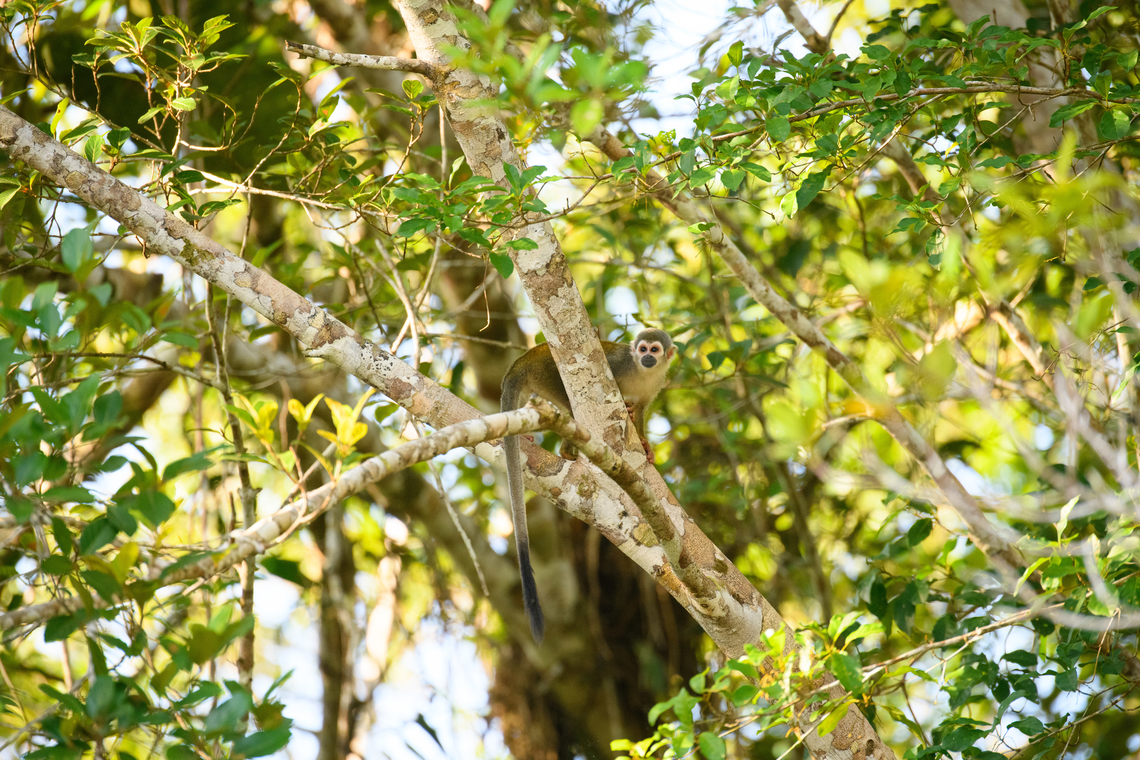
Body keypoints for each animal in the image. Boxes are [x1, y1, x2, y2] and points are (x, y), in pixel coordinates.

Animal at [500, 328, 676, 643]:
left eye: (655, 350)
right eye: (642, 348)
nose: (646, 357)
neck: (644, 372)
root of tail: (524, 358)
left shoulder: (657, 382)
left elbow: (641, 410)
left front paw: (644, 444)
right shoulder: (620, 364)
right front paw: (626, 413)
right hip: (548, 372)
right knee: (572, 405)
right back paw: (568, 450)